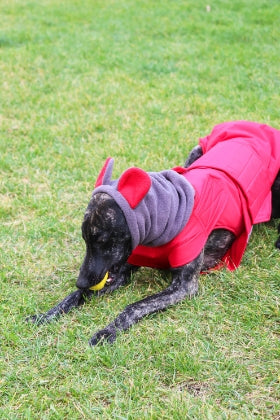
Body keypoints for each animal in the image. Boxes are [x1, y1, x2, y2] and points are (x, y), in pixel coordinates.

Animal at [28, 120, 280, 344]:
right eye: (86, 240)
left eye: (104, 241)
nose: (80, 281)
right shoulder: (119, 272)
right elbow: (77, 297)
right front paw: (47, 314)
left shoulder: (184, 287)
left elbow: (135, 306)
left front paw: (107, 331)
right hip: (196, 150)